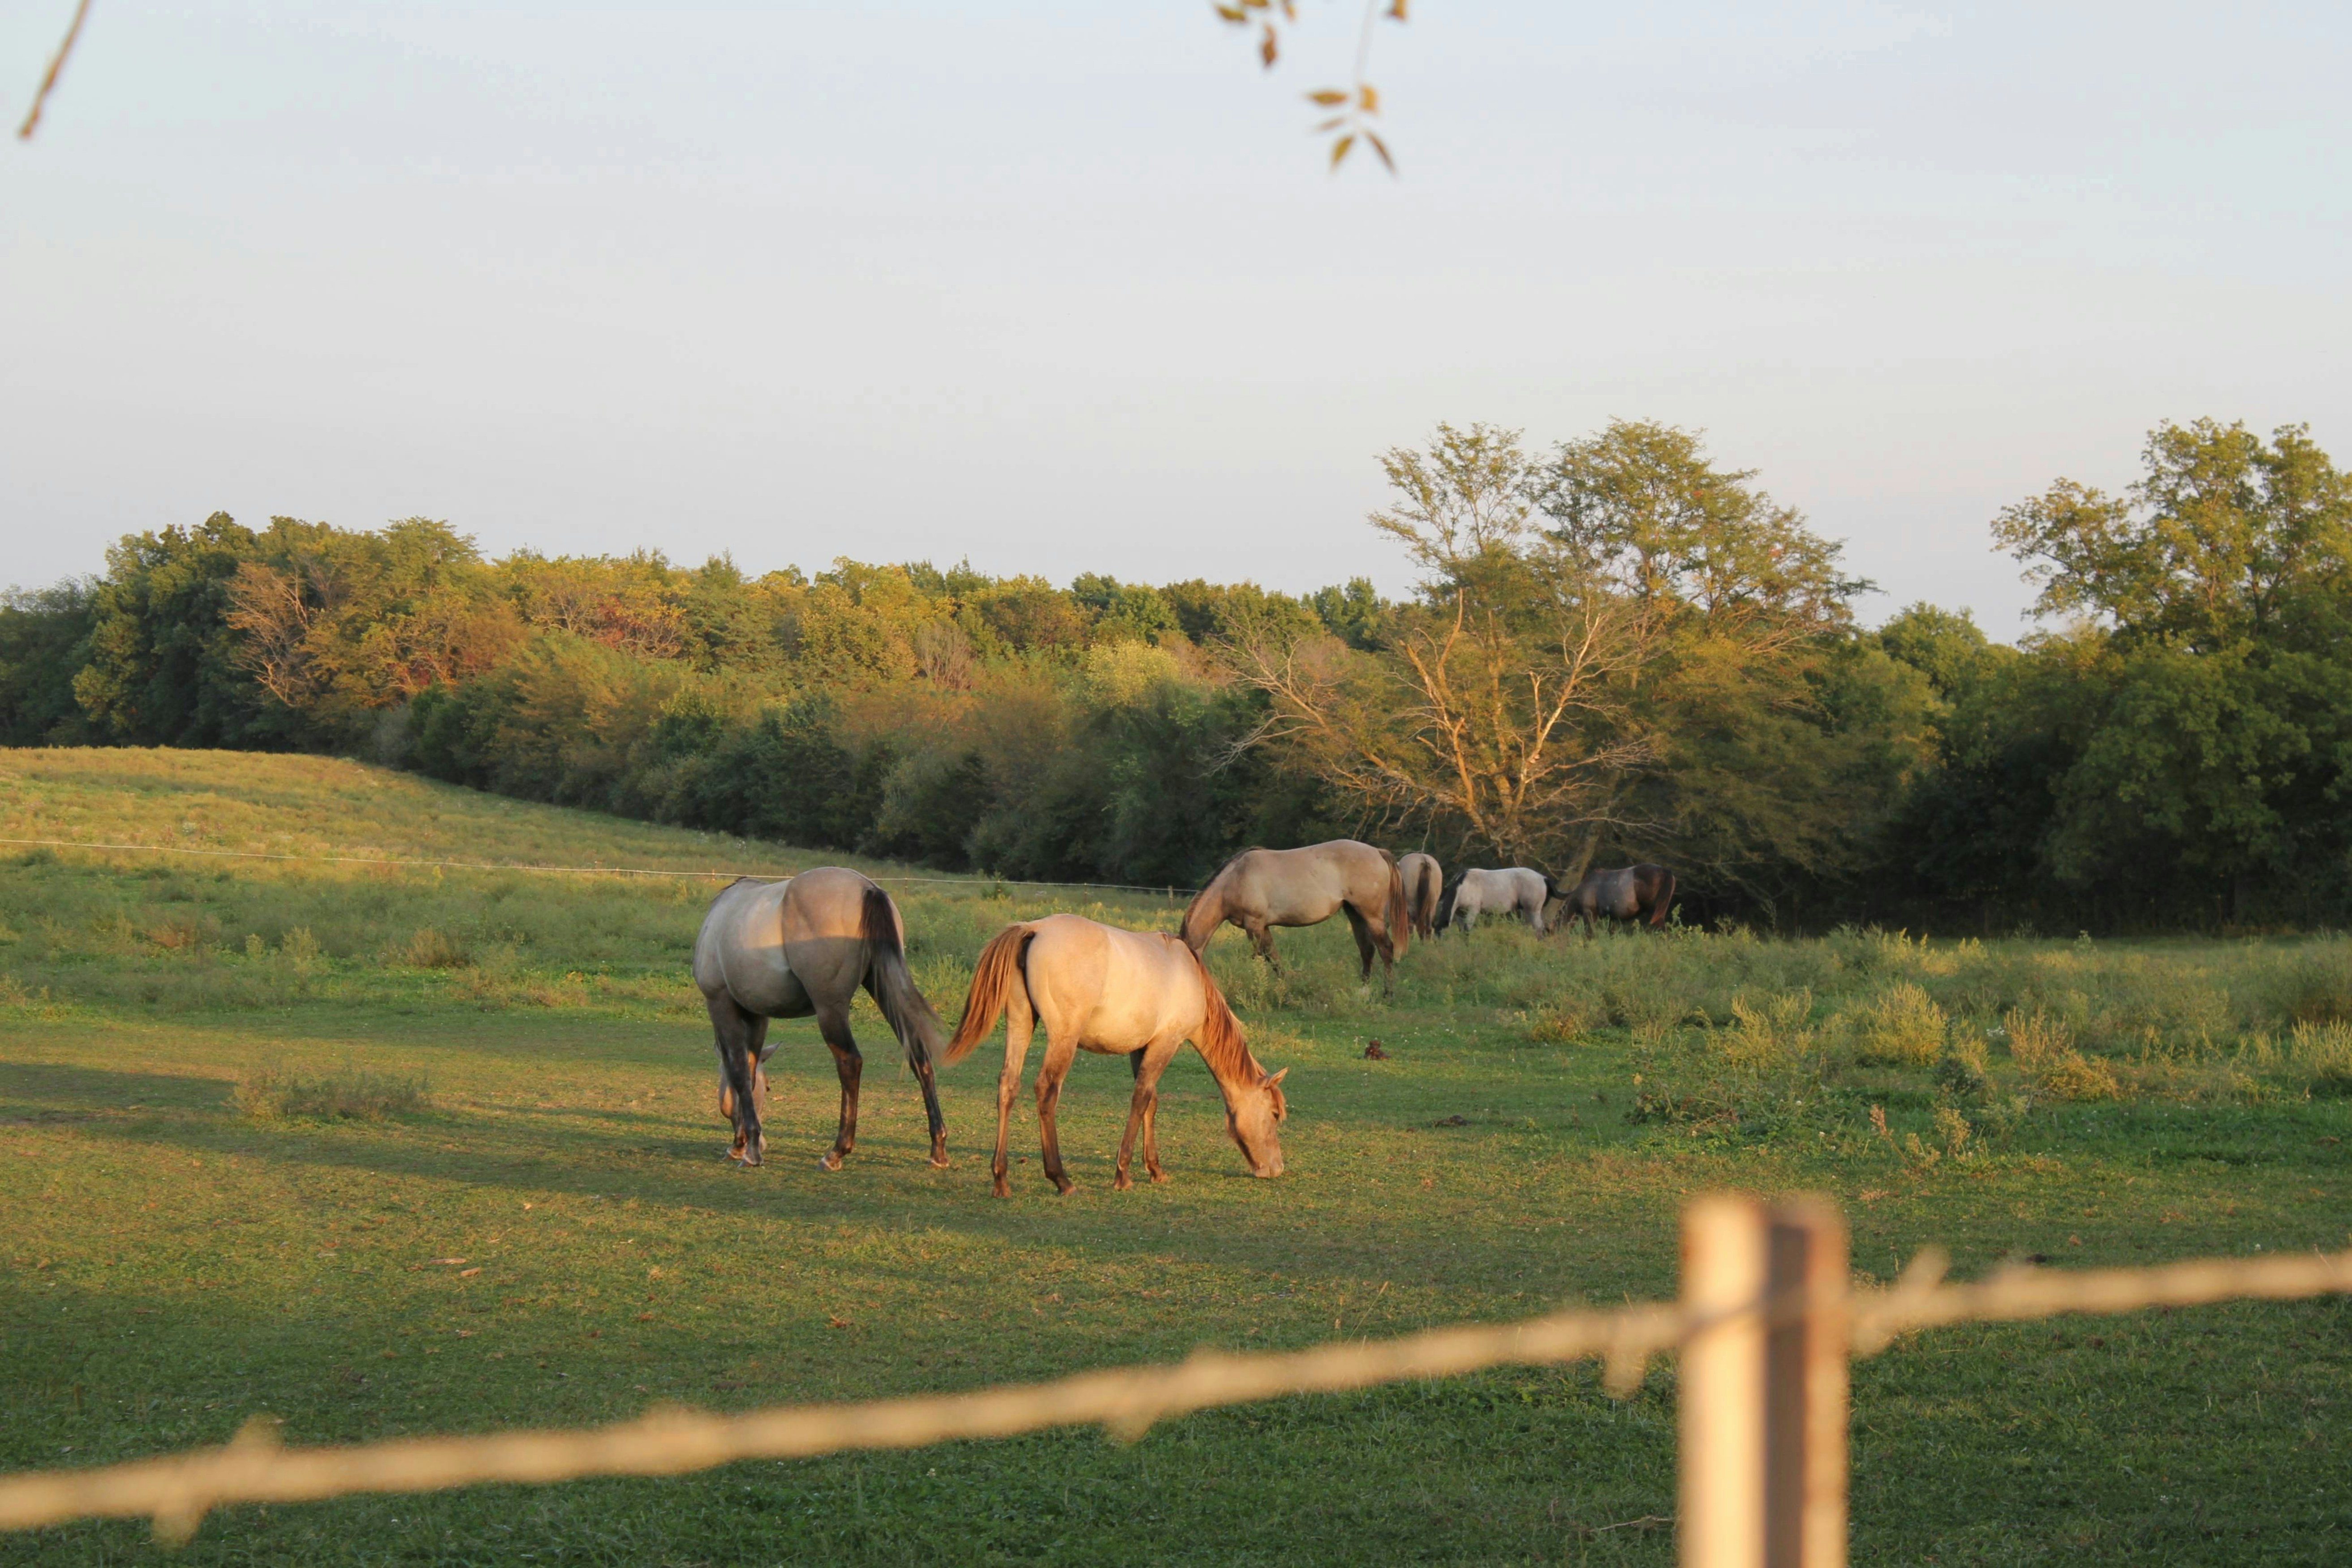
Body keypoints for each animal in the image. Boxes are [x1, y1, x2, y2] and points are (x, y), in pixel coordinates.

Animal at [692, 867, 951, 1171]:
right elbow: (751, 1069)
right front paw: (748, 1142)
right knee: (919, 1057)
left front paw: (746, 1148)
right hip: (884, 988)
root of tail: (868, 889)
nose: (760, 1143)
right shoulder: (758, 1016)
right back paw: (938, 1148)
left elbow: (739, 1072)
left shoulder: (721, 1004)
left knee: (850, 1062)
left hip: (830, 1009)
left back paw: (836, 1152)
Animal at [945, 913, 1288, 1197]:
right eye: (1274, 1115)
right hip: (1063, 1037)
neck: (1191, 978)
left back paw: (1001, 1179)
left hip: (1021, 1022)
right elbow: (1140, 1100)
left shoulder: (1141, 1048)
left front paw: (1155, 1169)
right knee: (1046, 1091)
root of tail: (1034, 929)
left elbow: (1151, 1102)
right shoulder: (1166, 1043)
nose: (1276, 1169)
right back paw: (1061, 1179)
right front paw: (1123, 1173)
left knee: (1008, 1085)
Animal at [1179, 840, 1410, 993]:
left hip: (1372, 916)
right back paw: (1364, 991)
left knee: (1386, 949)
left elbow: (1263, 958)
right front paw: (1285, 989)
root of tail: (1378, 852)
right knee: (1367, 950)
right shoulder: (1263, 927)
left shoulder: (1254, 925)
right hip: (1355, 914)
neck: (1235, 880)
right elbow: (1274, 959)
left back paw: (1388, 994)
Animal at [1434, 867, 1554, 935]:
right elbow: (1462, 932)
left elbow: (1467, 931)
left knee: (1540, 930)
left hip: (1533, 911)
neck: (1463, 886)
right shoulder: (1460, 914)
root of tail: (1543, 878)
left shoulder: (1473, 911)